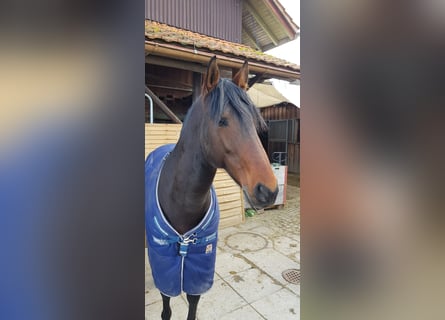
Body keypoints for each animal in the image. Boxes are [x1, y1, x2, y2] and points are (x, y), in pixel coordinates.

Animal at [146, 56, 278, 318]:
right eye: (222, 121)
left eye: (254, 122)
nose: (269, 190)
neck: (181, 201)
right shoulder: (165, 264)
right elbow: (166, 305)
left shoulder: (199, 264)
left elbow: (193, 305)